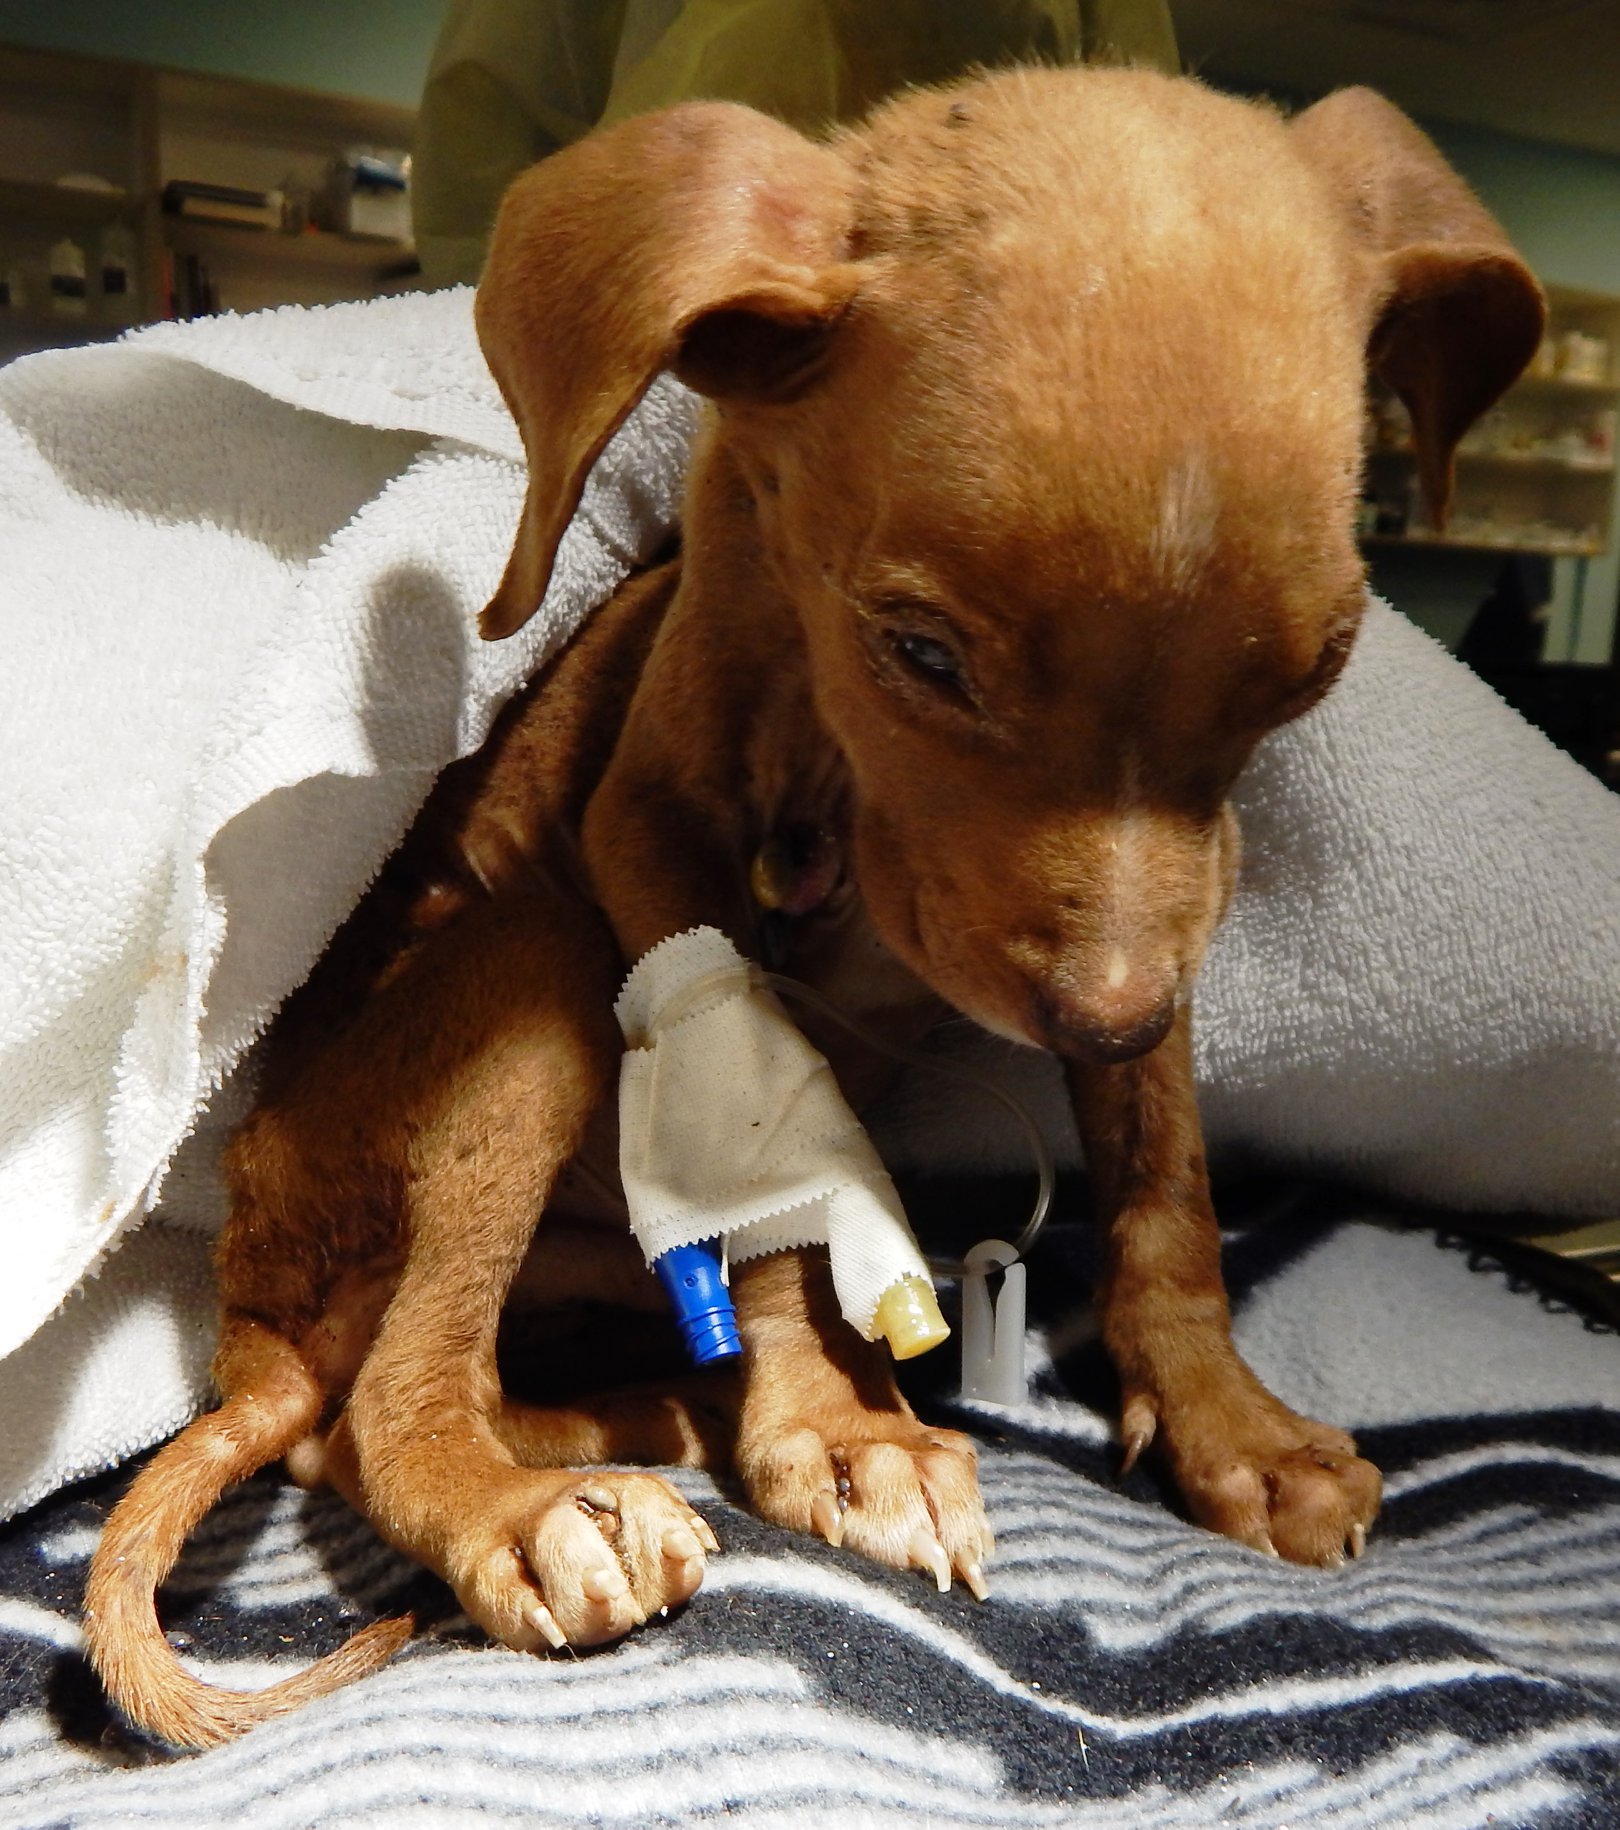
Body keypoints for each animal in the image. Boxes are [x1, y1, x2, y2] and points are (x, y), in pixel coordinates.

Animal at [82, 67, 1537, 1742]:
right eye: (921, 652)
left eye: (1318, 674)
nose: (1102, 1018)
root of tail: (242, 1298)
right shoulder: (652, 850)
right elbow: (778, 1158)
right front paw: (847, 1421)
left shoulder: (1172, 927)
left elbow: (1165, 1173)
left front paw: (1230, 1419)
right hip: (536, 957)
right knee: (376, 1409)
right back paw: (532, 1502)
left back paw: (658, 1407)